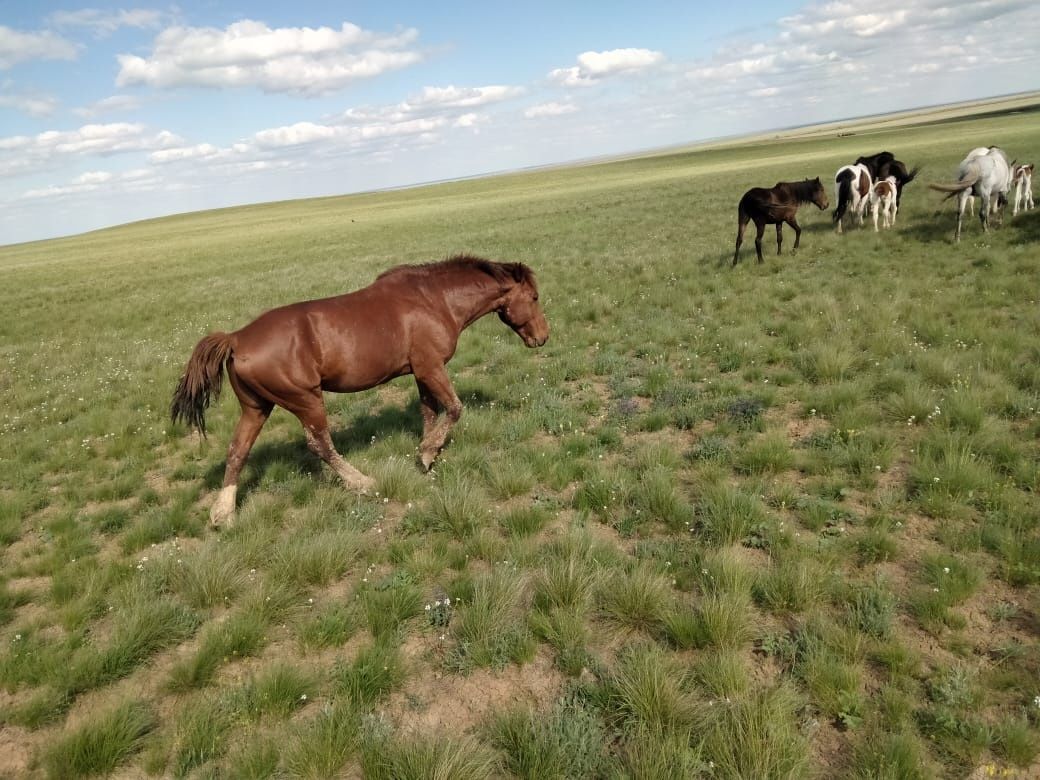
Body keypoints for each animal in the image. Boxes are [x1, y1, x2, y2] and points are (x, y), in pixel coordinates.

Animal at [170, 256, 549, 532]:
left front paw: (427, 455)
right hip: (305, 399)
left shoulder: (421, 372)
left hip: (257, 407)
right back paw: (363, 483)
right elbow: (454, 409)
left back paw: (223, 515)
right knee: (319, 444)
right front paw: (428, 452)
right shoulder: (431, 368)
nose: (543, 337)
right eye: (534, 297)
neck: (434, 299)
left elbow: (429, 412)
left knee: (237, 450)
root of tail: (236, 338)